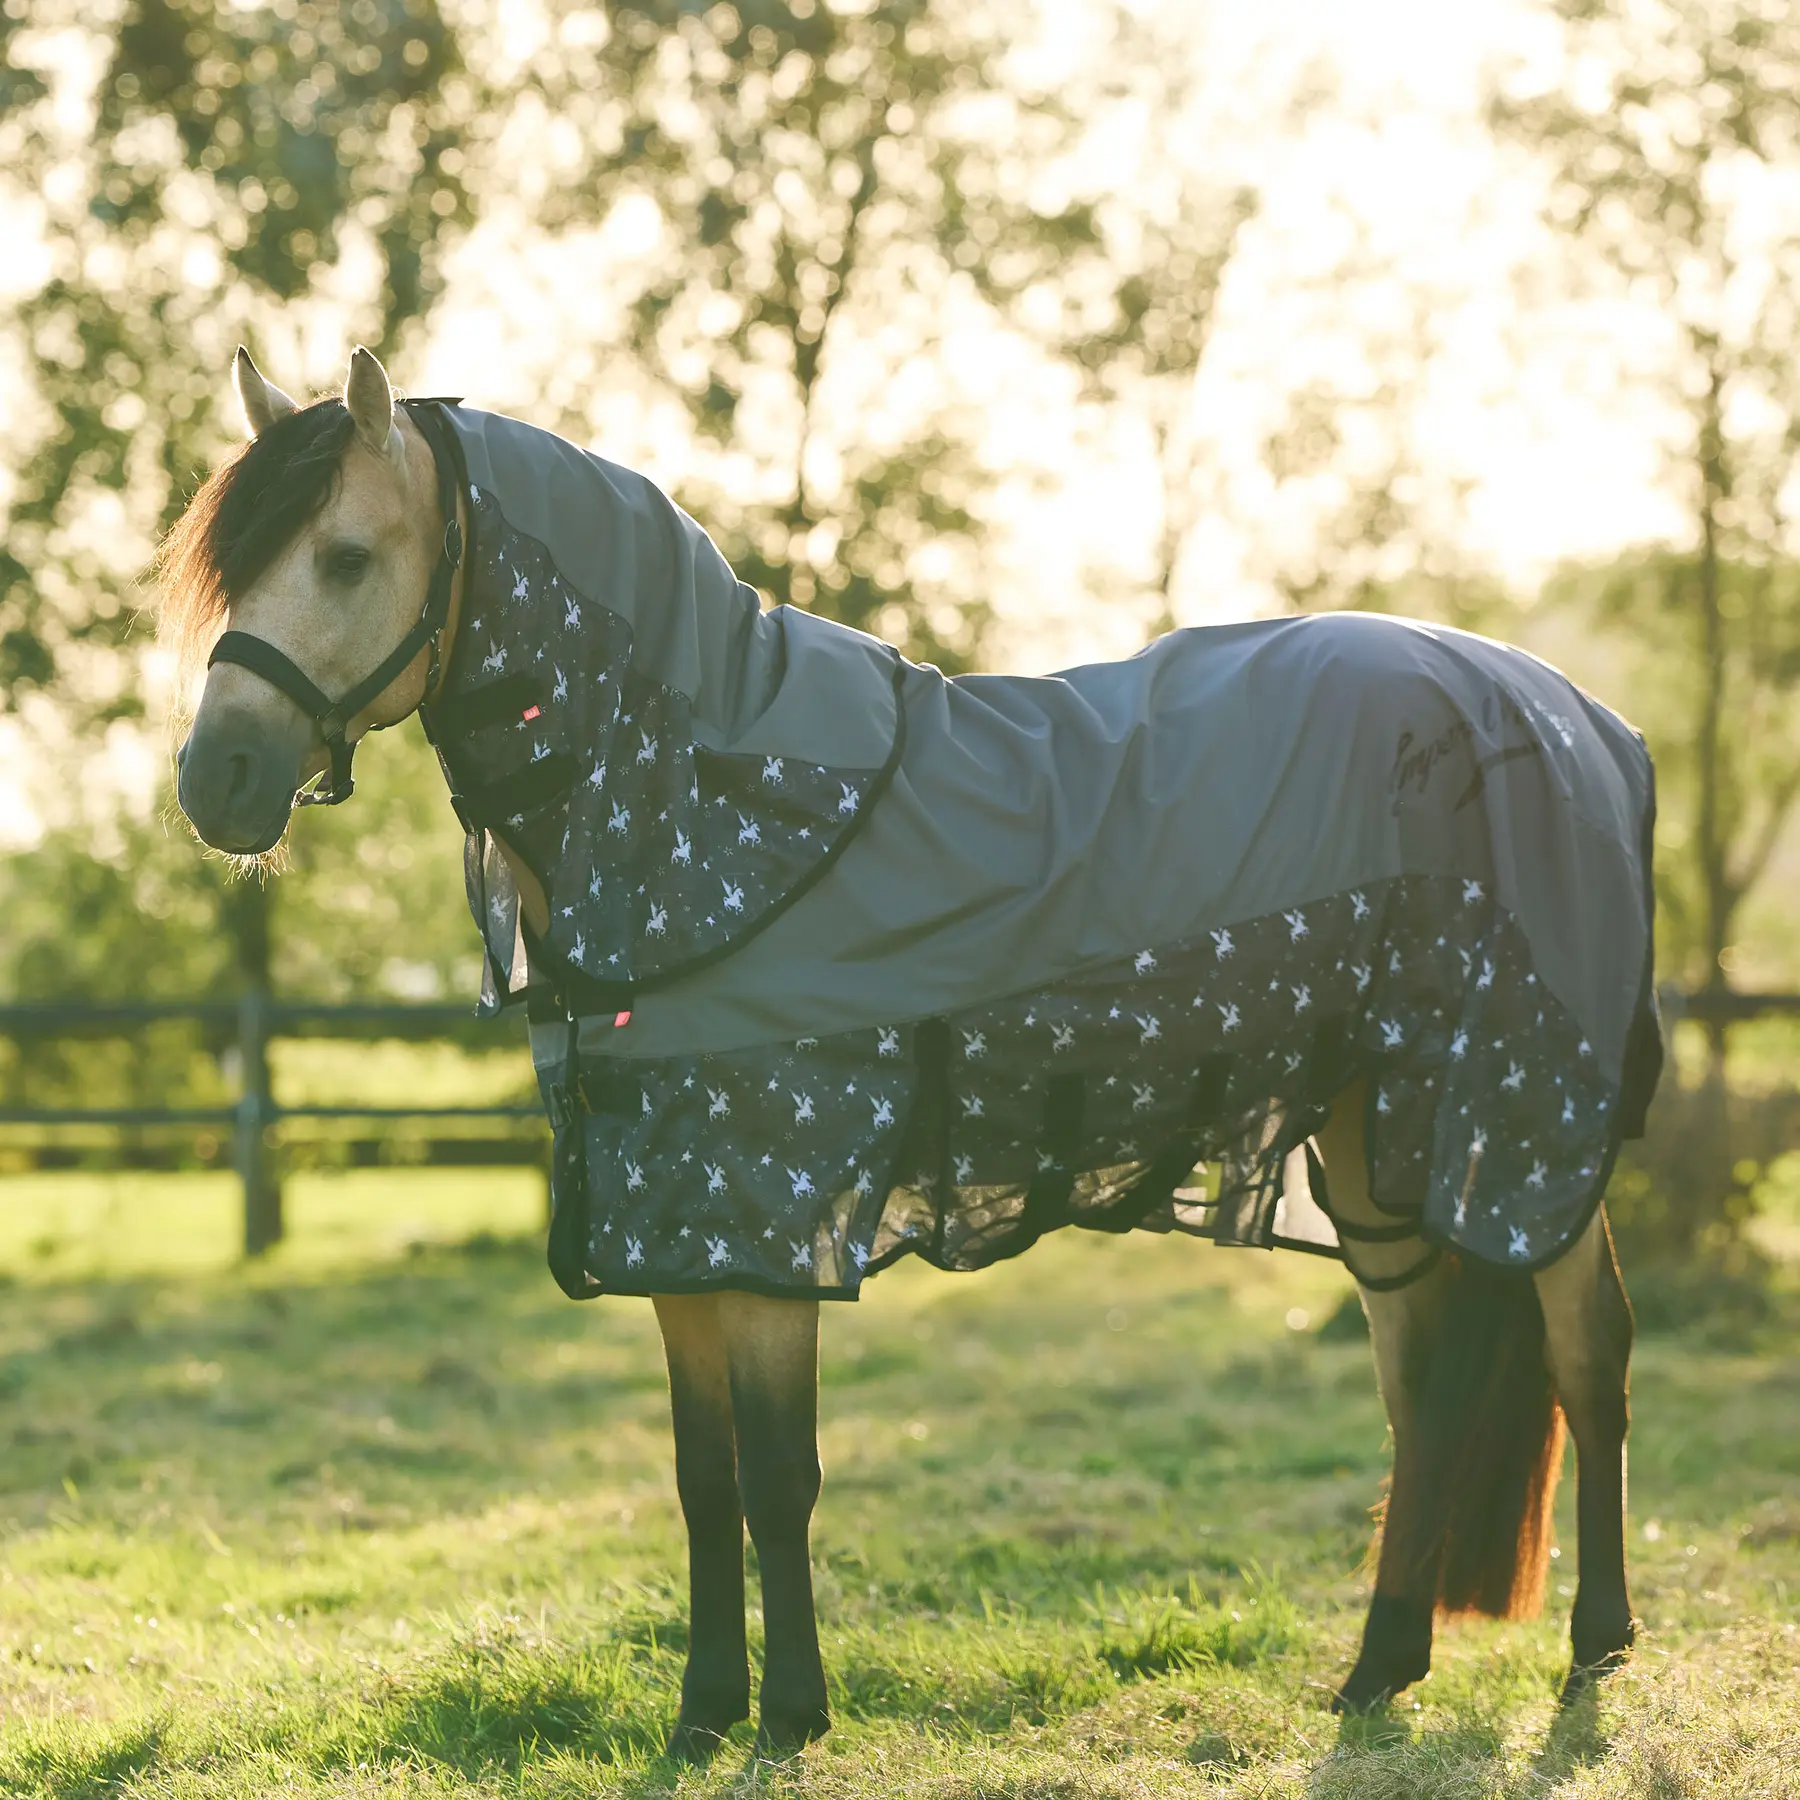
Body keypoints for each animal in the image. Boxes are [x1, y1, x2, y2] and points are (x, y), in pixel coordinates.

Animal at [162, 344, 1656, 1757]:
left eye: (347, 557)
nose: (213, 785)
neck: (714, 821)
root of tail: (1585, 719)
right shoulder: (675, 1227)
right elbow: (704, 1479)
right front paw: (701, 1715)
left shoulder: (769, 1222)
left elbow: (780, 1477)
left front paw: (788, 1718)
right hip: (1379, 1136)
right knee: (1425, 1390)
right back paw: (1379, 1668)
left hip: (1522, 1120)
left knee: (1588, 1357)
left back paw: (1595, 1650)